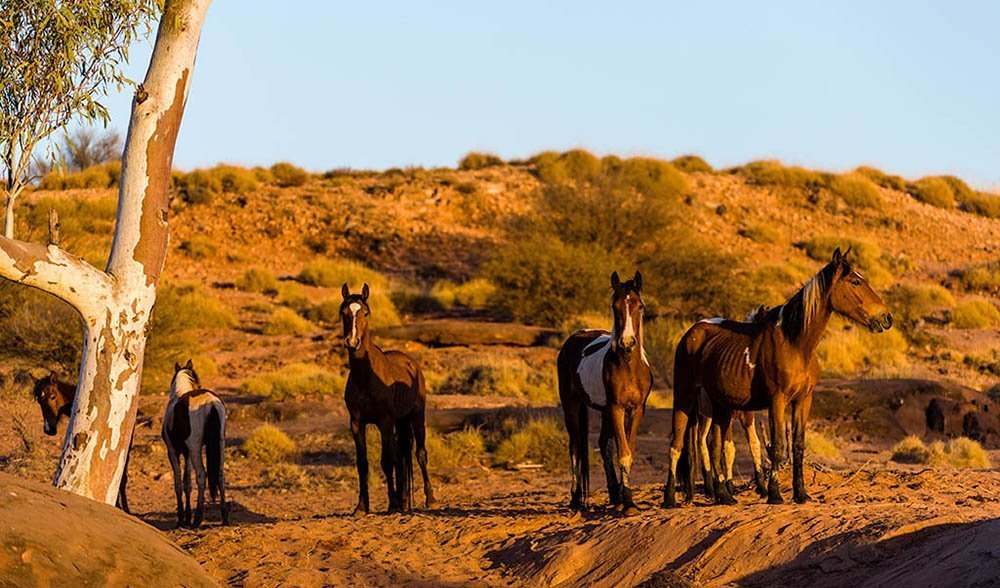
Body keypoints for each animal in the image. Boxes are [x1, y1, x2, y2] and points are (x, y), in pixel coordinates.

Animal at [163, 360, 229, 528]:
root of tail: (211, 403)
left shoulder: (173, 451)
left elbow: (178, 483)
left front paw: (182, 519)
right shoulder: (186, 454)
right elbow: (187, 483)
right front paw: (186, 517)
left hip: (195, 449)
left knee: (201, 476)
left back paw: (197, 519)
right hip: (220, 444)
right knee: (220, 476)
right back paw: (224, 517)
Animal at [341, 283, 436, 515]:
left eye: (365, 313)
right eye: (344, 313)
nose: (352, 342)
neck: (365, 377)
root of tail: (412, 363)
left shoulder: (384, 422)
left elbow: (387, 462)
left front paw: (392, 504)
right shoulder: (356, 423)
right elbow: (363, 463)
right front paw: (361, 506)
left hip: (416, 417)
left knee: (420, 453)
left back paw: (429, 499)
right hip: (400, 422)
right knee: (402, 455)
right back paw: (403, 500)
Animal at [558, 271, 653, 516]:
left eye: (640, 306)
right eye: (614, 306)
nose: (627, 342)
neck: (628, 365)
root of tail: (576, 336)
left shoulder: (637, 410)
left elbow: (627, 450)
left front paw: (625, 500)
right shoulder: (616, 408)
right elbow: (623, 453)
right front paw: (628, 502)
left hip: (603, 411)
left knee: (603, 444)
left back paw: (613, 495)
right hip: (572, 405)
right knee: (575, 446)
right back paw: (575, 499)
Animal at [663, 247, 892, 507]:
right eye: (855, 281)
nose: (886, 317)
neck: (796, 344)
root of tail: (691, 334)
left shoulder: (803, 400)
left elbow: (798, 445)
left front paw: (801, 493)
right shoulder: (777, 401)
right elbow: (778, 446)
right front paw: (774, 494)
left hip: (720, 404)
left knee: (714, 444)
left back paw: (724, 496)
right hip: (685, 397)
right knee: (676, 444)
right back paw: (670, 499)